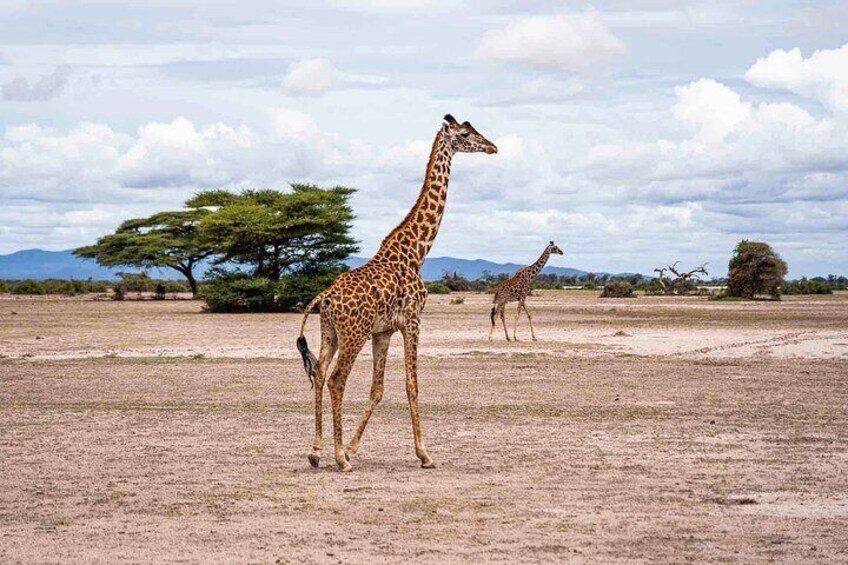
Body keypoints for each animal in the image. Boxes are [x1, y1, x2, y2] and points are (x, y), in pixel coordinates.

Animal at [296, 112, 496, 470]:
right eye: (465, 134)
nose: (492, 146)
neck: (416, 251)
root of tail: (326, 297)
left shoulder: (384, 331)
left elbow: (378, 388)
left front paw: (353, 447)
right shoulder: (413, 321)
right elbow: (411, 384)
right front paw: (424, 454)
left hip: (330, 333)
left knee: (318, 374)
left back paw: (317, 451)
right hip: (353, 335)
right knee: (336, 380)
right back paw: (339, 459)